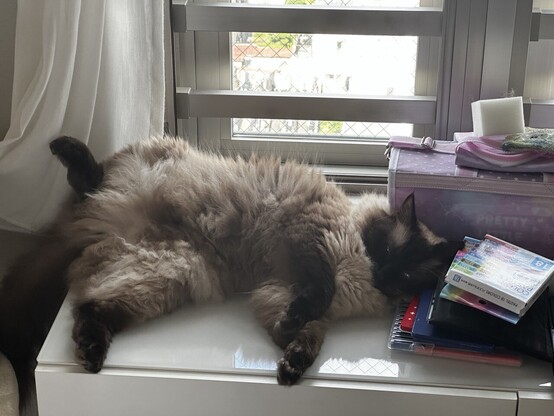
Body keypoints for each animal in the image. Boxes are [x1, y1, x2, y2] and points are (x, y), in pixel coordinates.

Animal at [0, 135, 463, 414]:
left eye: (406, 277)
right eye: (385, 250)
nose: (382, 274)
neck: (357, 266)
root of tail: (90, 229)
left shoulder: (282, 295)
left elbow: (307, 335)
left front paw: (291, 368)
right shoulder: (309, 243)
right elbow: (317, 291)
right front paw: (292, 343)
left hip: (165, 275)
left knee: (90, 308)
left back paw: (92, 355)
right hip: (150, 166)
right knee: (89, 179)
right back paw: (66, 149)